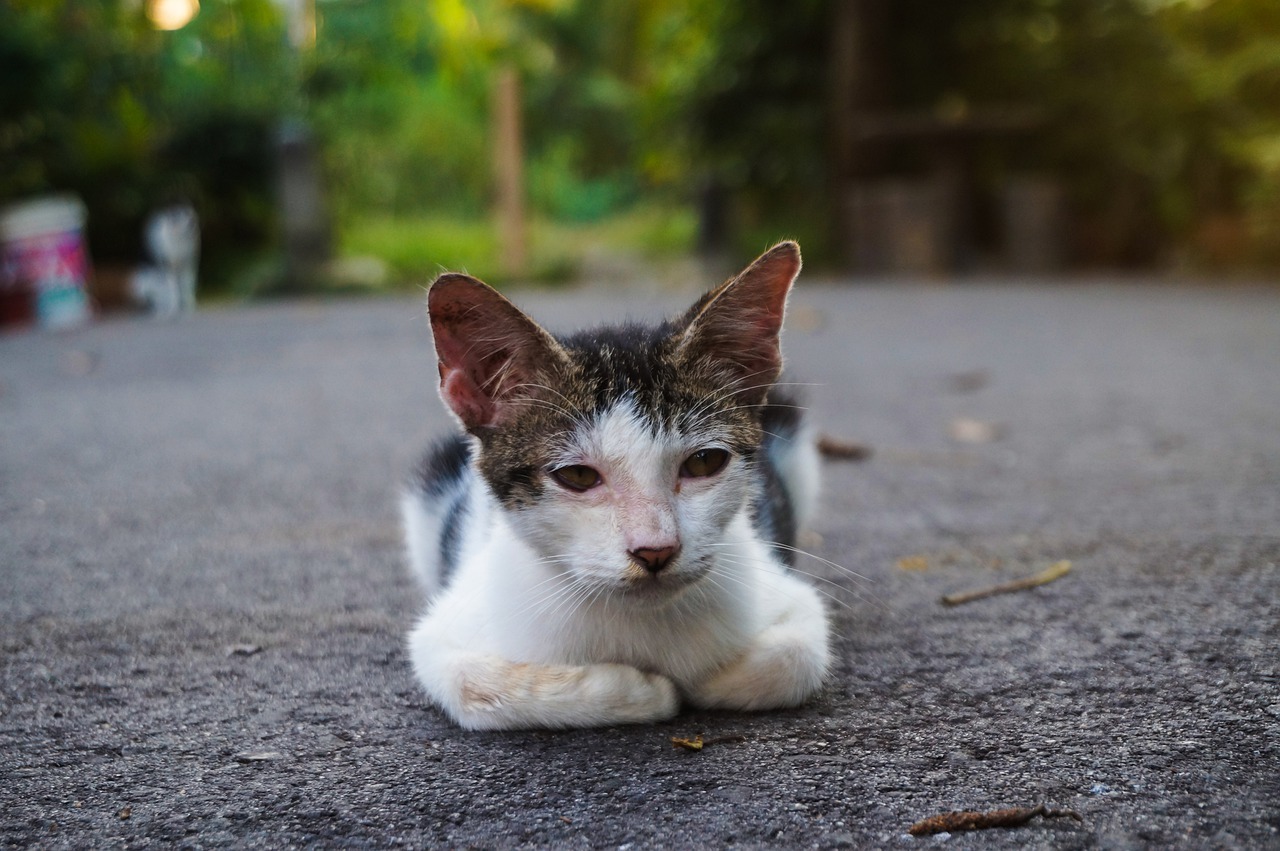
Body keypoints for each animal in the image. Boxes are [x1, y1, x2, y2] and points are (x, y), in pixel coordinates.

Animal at [404, 240, 834, 731]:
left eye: (705, 462)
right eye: (577, 476)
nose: (656, 551)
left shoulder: (793, 600)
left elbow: (794, 657)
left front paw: (704, 683)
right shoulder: (443, 633)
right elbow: (471, 684)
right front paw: (645, 691)